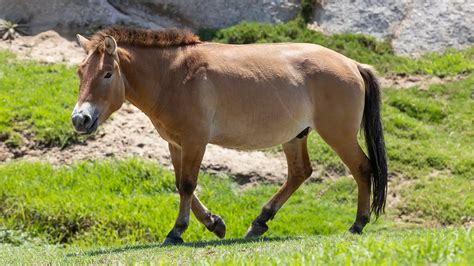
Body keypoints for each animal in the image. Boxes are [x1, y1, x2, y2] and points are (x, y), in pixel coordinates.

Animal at [71, 26, 388, 243]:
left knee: (362, 168)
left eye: (107, 74)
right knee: (300, 173)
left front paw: (177, 231)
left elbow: (187, 184)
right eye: (80, 72)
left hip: (338, 135)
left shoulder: (195, 141)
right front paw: (214, 223)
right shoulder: (176, 143)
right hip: (296, 136)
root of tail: (352, 64)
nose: (80, 119)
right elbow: (180, 185)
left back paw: (358, 223)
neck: (174, 75)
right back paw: (259, 223)